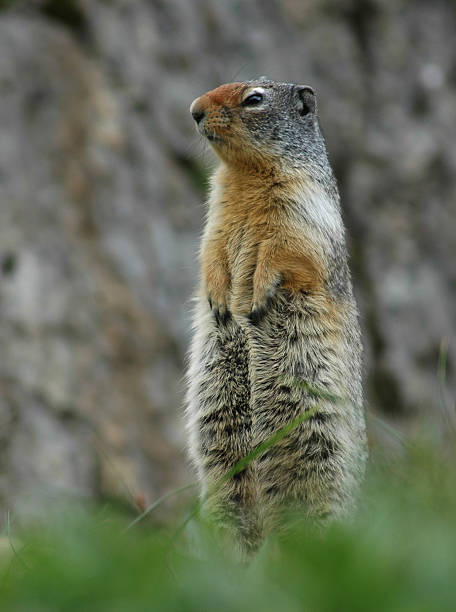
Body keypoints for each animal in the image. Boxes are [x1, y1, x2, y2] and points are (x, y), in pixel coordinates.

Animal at [185, 77, 366, 556]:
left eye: (254, 99)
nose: (193, 110)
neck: (246, 175)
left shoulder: (302, 206)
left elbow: (286, 250)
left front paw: (257, 297)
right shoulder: (216, 214)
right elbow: (210, 251)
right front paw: (219, 301)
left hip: (318, 444)